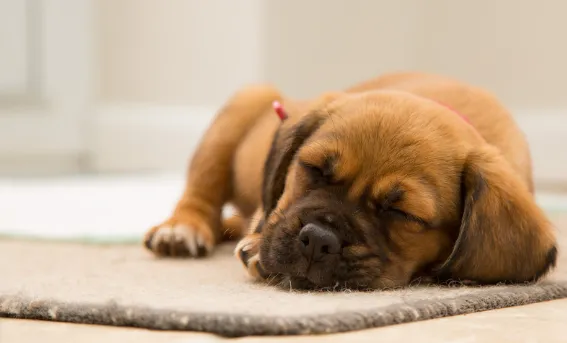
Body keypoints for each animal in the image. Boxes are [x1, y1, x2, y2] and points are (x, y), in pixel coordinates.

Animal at [143, 72, 560, 290]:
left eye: (402, 214)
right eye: (313, 169)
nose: (318, 240)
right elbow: (270, 211)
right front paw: (259, 244)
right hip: (242, 108)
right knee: (201, 194)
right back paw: (182, 228)